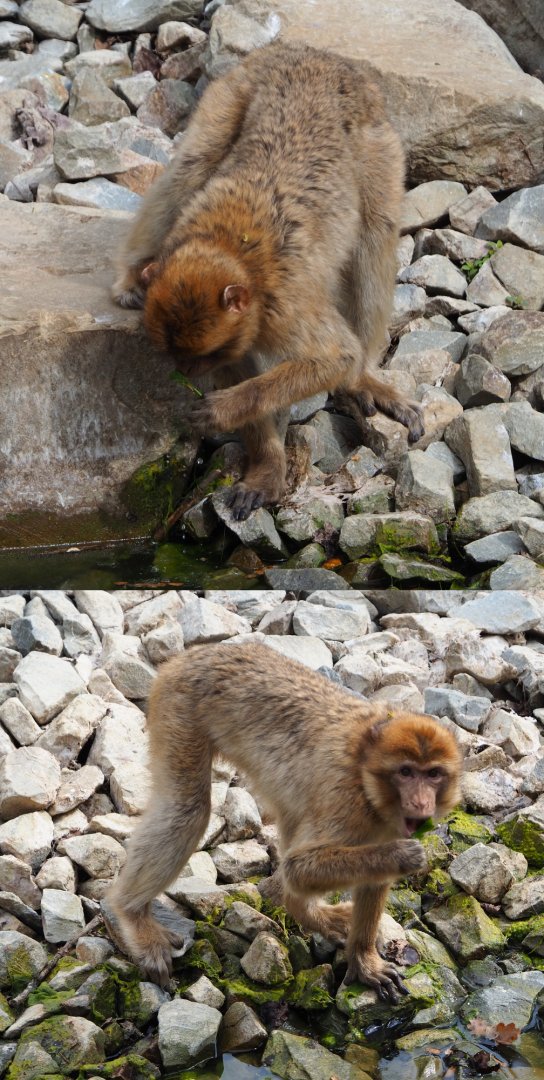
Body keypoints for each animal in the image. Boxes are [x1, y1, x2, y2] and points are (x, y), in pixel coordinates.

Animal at [108, 643, 461, 1001]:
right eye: (406, 772)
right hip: (179, 706)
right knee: (187, 811)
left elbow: (372, 879)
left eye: (433, 774)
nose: (421, 803)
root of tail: (194, 654)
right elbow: (299, 868)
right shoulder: (344, 802)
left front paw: (364, 959)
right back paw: (131, 913)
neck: (366, 776)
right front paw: (402, 856)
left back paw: (303, 910)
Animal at [112, 41, 424, 521]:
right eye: (181, 357)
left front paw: (226, 410)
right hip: (235, 88)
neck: (231, 251)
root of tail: (317, 54)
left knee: (376, 233)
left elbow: (337, 357)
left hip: (376, 139)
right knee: (193, 162)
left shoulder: (284, 307)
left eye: (201, 357)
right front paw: (268, 465)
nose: (189, 372)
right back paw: (133, 273)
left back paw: (362, 379)